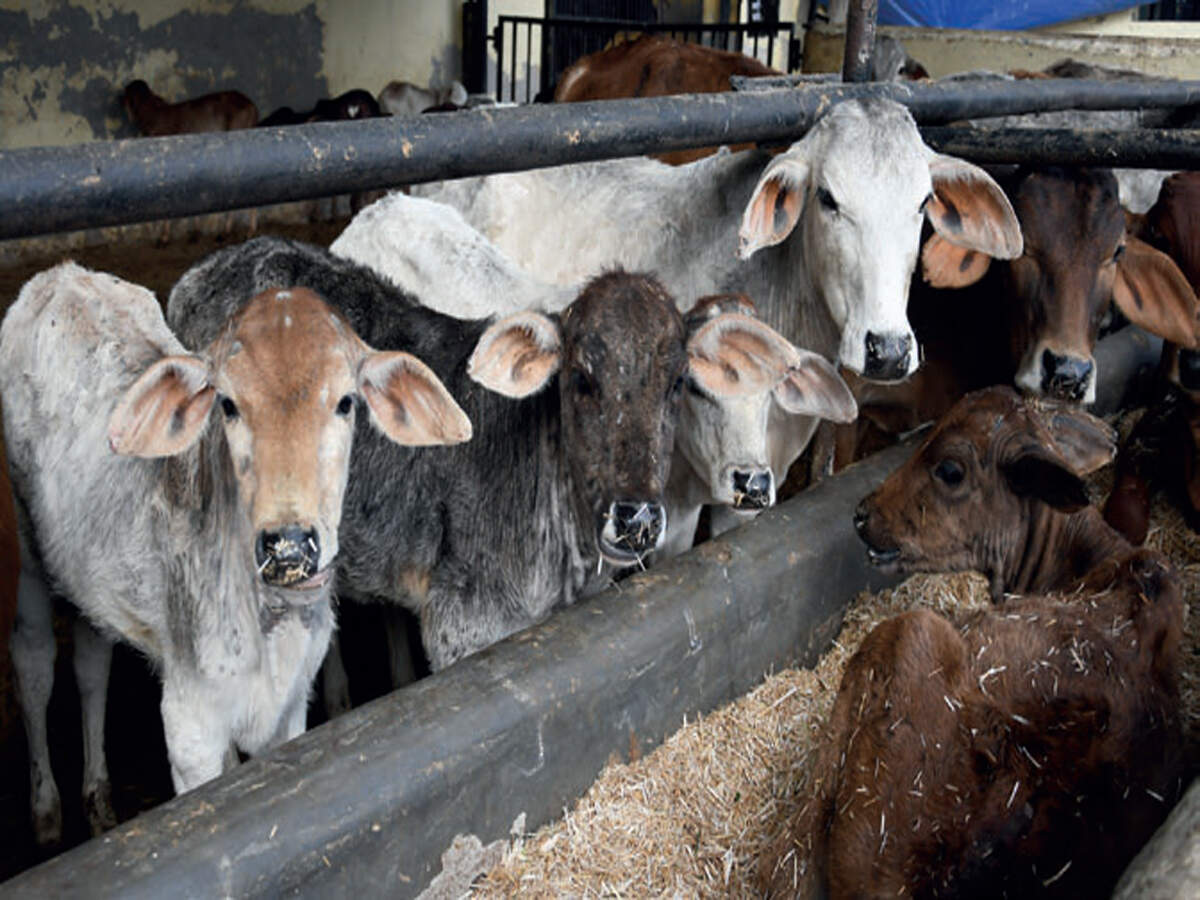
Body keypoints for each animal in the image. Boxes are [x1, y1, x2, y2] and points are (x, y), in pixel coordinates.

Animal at [0, 263, 469, 845]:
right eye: (228, 404)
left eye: (345, 401)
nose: (290, 542)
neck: (271, 623)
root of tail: (62, 273)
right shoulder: (189, 724)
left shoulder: (291, 708)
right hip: (26, 546)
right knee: (35, 661)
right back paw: (46, 811)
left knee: (91, 663)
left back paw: (99, 797)